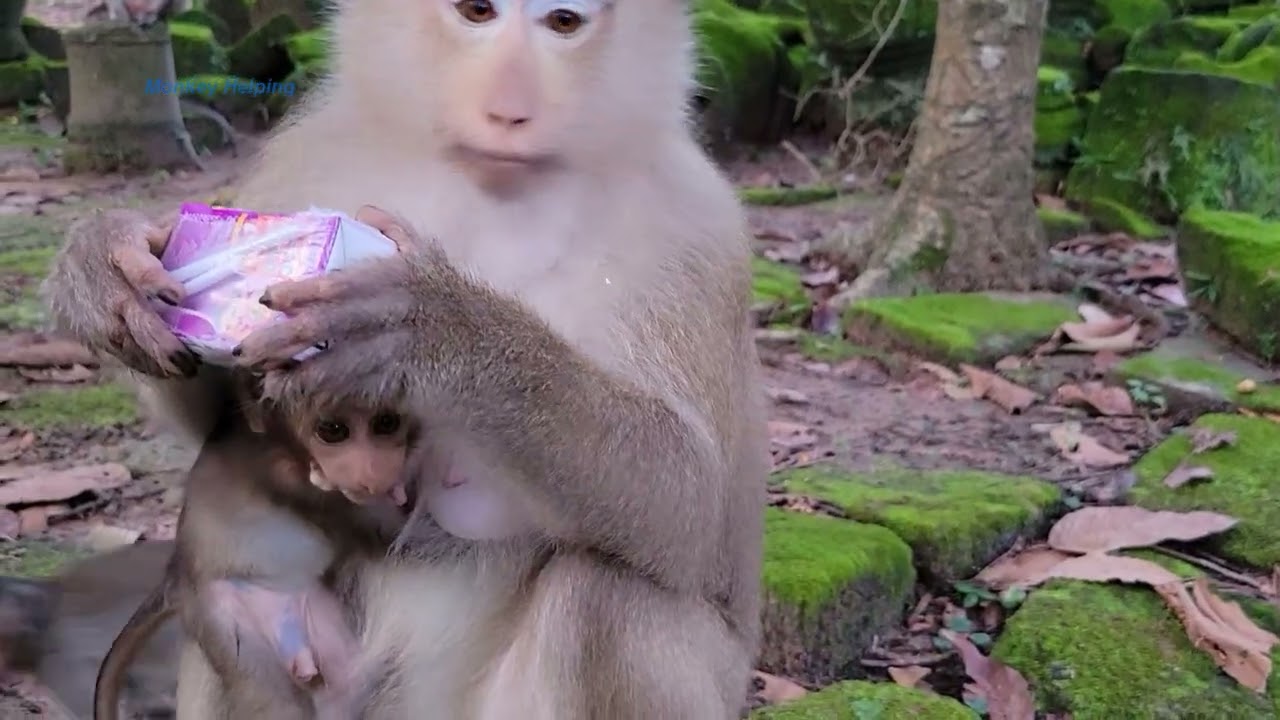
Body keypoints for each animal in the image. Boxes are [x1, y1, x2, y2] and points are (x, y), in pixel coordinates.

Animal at [93, 381, 415, 720]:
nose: (374, 471)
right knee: (275, 702)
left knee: (345, 685)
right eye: (333, 430)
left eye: (386, 423)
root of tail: (176, 574)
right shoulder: (292, 481)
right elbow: (387, 529)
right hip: (224, 620)